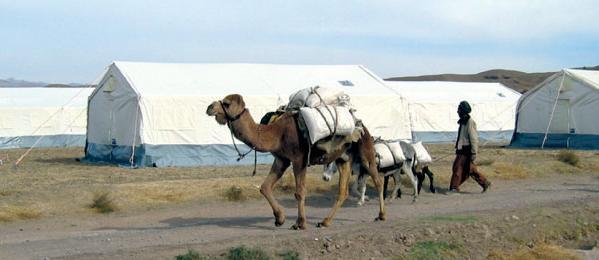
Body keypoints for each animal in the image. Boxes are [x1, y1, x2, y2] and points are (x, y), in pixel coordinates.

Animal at [205, 94, 384, 229]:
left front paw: (300, 223)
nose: (209, 107)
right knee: (343, 191)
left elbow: (299, 192)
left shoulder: (299, 159)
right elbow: (265, 187)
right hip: (343, 158)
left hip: (366, 150)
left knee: (378, 179)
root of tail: (359, 123)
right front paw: (280, 218)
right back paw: (325, 222)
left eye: (226, 103)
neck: (276, 133)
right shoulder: (281, 159)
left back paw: (381, 215)